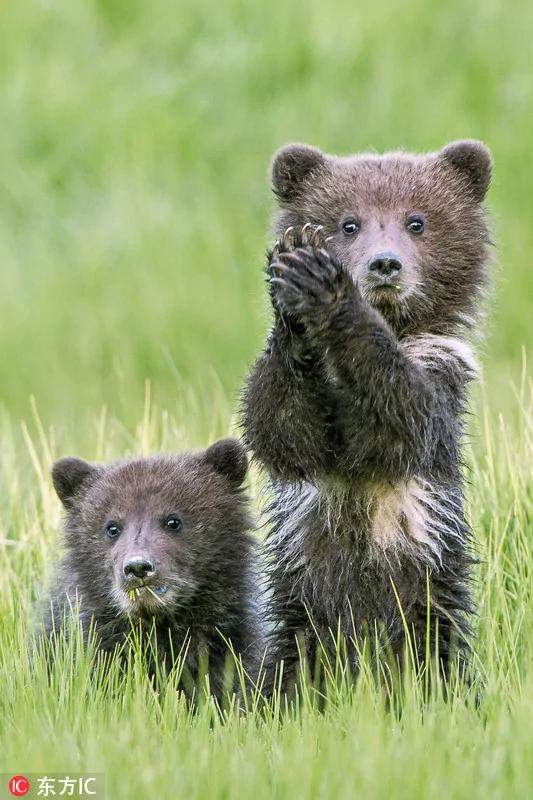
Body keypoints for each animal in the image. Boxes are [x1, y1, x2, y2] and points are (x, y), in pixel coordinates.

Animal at [241, 140, 492, 693]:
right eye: (349, 222)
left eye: (416, 221)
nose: (385, 264)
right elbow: (280, 429)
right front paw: (293, 277)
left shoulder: (439, 372)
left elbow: (402, 420)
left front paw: (328, 289)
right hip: (300, 609)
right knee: (291, 663)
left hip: (429, 596)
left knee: (436, 652)